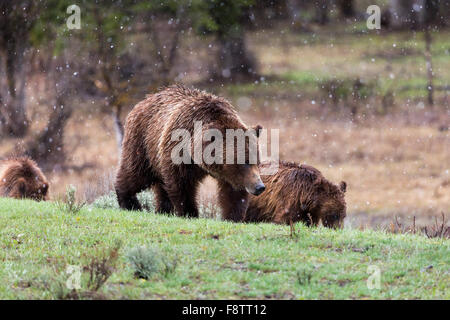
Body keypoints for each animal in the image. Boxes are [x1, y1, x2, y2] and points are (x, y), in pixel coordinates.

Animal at [115, 84, 268, 221]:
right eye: (244, 162)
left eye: (257, 162)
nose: (260, 187)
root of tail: (143, 101)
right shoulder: (179, 151)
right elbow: (182, 184)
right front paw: (189, 212)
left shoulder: (230, 174)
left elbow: (233, 193)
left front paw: (233, 216)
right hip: (143, 141)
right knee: (136, 173)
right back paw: (129, 202)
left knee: (161, 185)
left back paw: (162, 210)